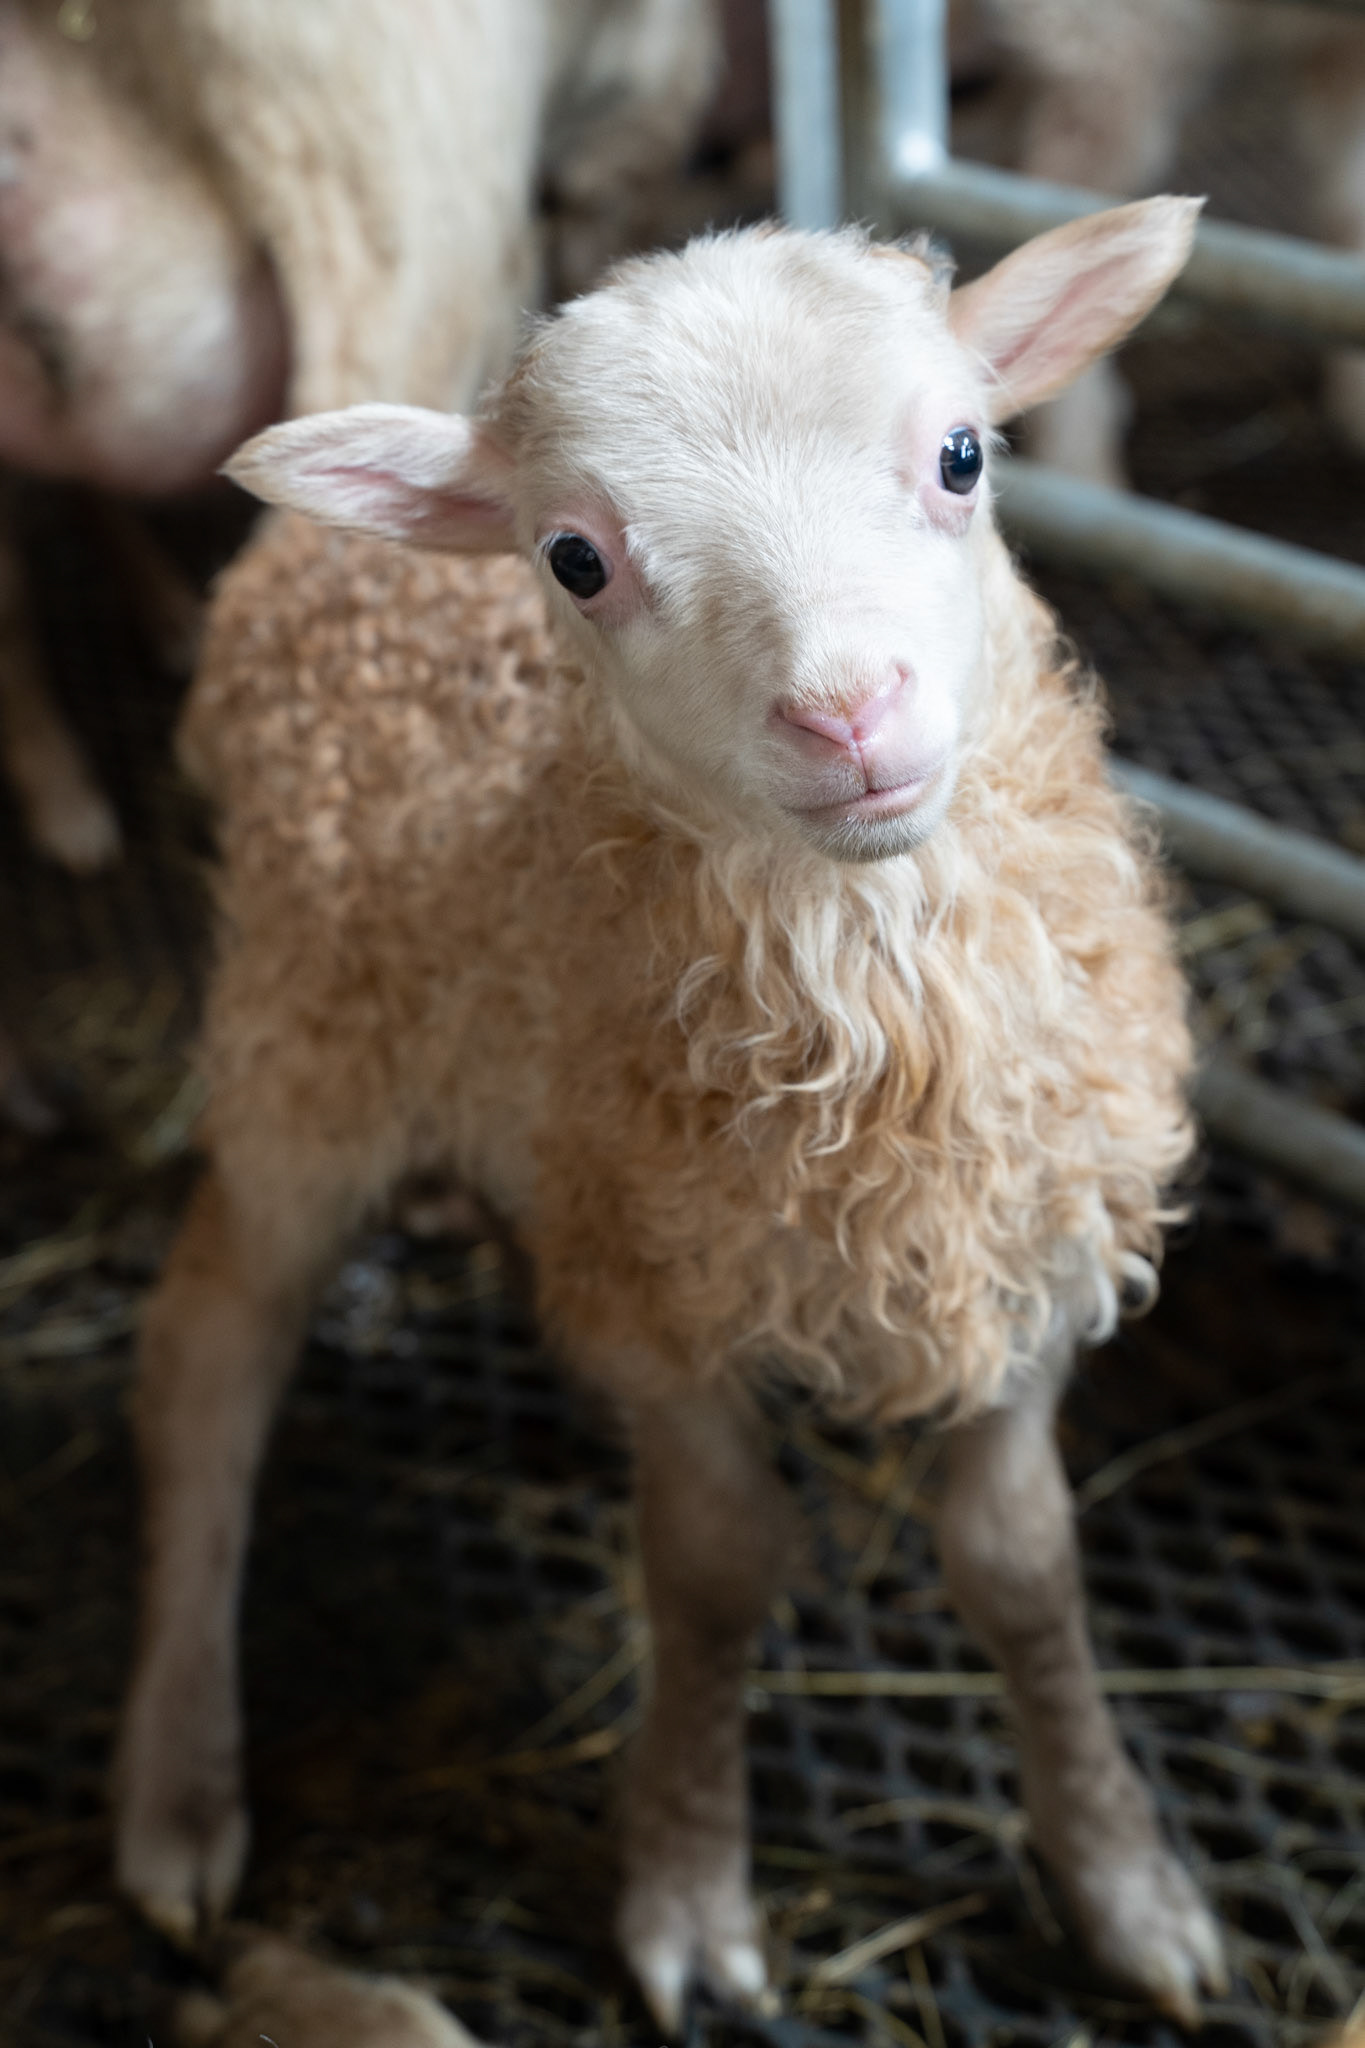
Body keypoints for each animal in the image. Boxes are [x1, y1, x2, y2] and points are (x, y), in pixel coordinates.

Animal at [115, 197, 1227, 2029]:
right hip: (302, 1053)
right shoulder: (660, 1303)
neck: (876, 1042)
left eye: (963, 454)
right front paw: (693, 1891)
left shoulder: (1017, 1250)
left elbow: (1020, 1564)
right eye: (576, 559)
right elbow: (714, 1565)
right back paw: (179, 1790)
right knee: (209, 1354)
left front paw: (1125, 1883)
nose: (849, 713)